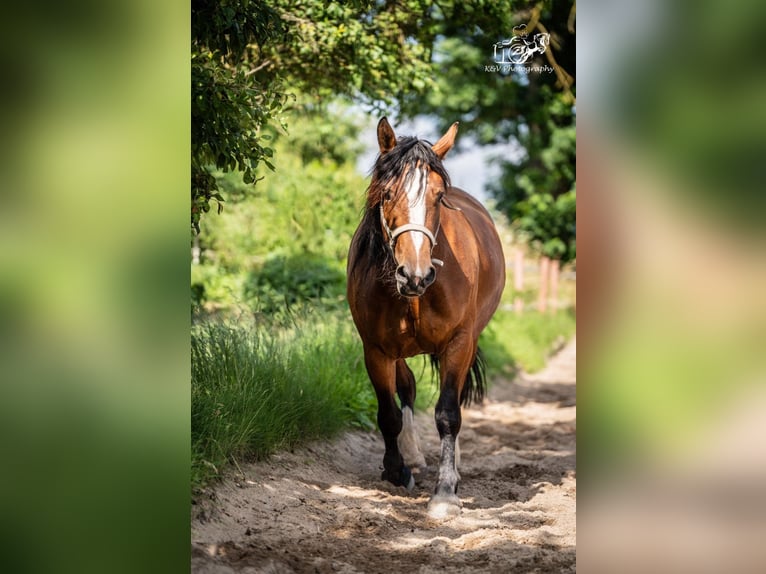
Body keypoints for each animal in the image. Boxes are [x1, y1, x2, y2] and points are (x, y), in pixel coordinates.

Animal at [346, 118, 504, 520]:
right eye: (387, 195)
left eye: (438, 197)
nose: (415, 275)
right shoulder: (376, 349)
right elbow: (388, 412)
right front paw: (397, 469)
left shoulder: (460, 343)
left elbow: (448, 412)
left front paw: (446, 491)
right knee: (407, 390)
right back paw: (413, 456)